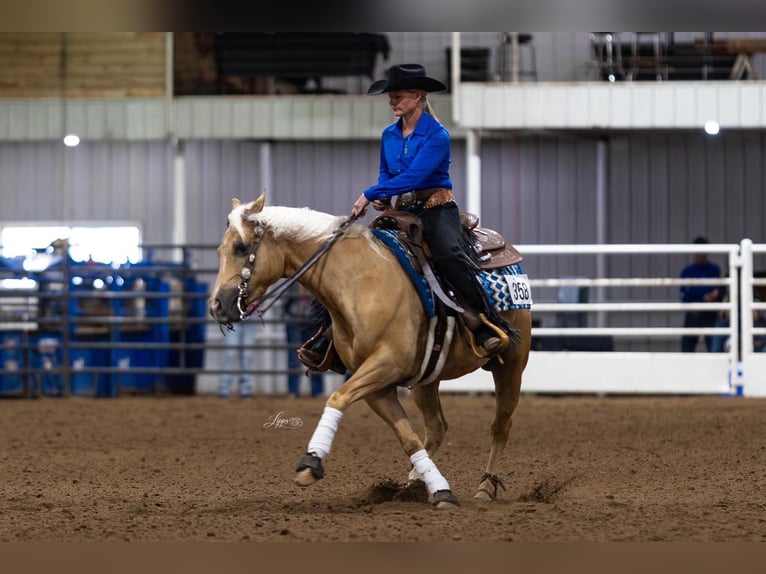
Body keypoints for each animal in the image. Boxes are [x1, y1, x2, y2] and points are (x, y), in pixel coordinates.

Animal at [208, 194, 532, 508]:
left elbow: (337, 398)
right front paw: (439, 489)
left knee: (500, 426)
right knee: (436, 428)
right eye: (220, 250)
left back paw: (485, 488)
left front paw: (311, 461)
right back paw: (413, 485)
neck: (358, 281)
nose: (216, 306)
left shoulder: (386, 364)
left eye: (241, 247)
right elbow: (409, 438)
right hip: (426, 380)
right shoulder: (378, 384)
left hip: (511, 365)